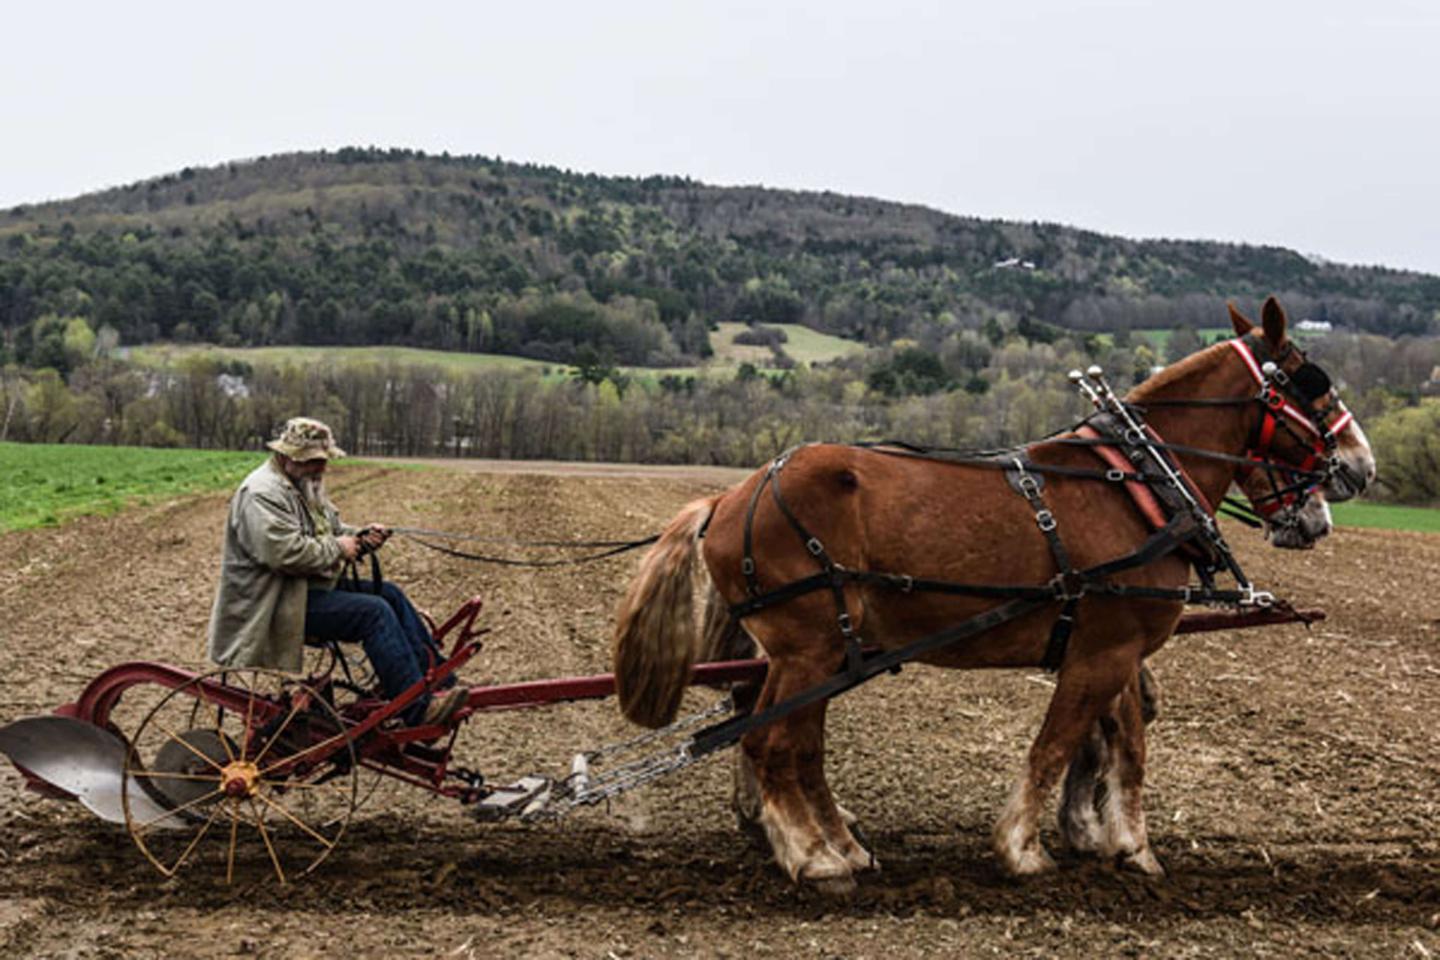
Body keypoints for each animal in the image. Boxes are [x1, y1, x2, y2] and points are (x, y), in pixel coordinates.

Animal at [612, 297, 1375, 893]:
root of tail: (729, 497)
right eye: (1314, 386)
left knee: (790, 744)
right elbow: (1053, 745)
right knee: (772, 742)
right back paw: (814, 859)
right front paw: (1022, 851)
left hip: (815, 653)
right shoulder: (1100, 653)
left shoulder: (1120, 649)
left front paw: (1129, 848)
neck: (1140, 485)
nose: (1362, 468)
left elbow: (1126, 748)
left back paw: (837, 845)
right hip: (809, 649)